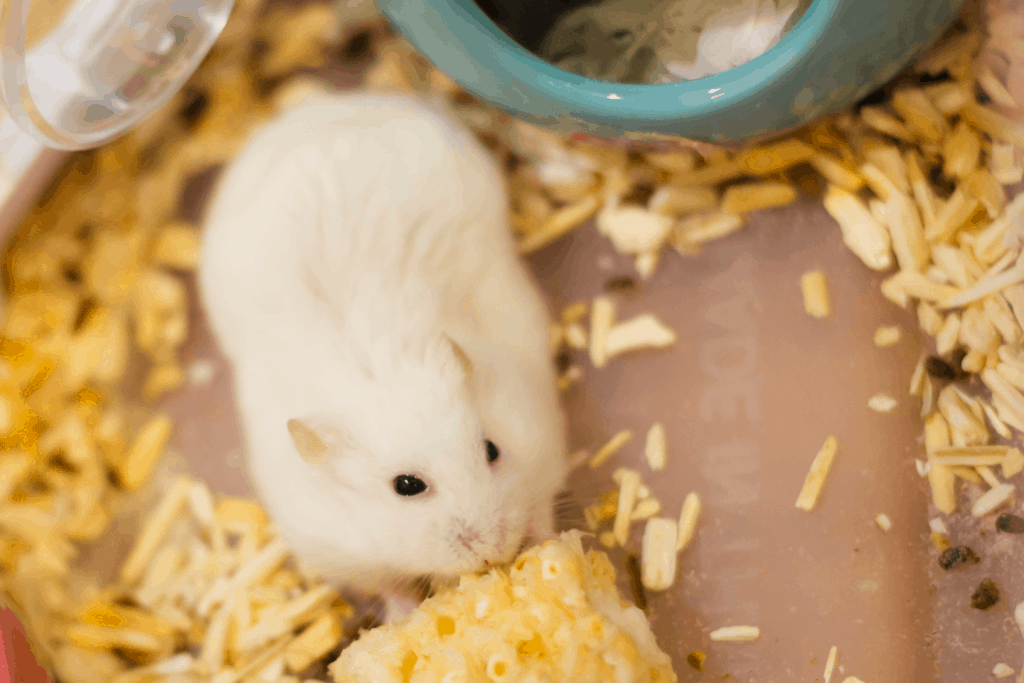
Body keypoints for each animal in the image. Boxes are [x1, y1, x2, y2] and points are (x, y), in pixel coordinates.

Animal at [196, 92, 573, 602]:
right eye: (407, 486)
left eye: (492, 449)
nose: (493, 548)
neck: (380, 366)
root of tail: (333, 104)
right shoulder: (345, 553)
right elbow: (391, 587)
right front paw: (403, 611)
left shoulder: (541, 438)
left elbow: (538, 505)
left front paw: (545, 546)